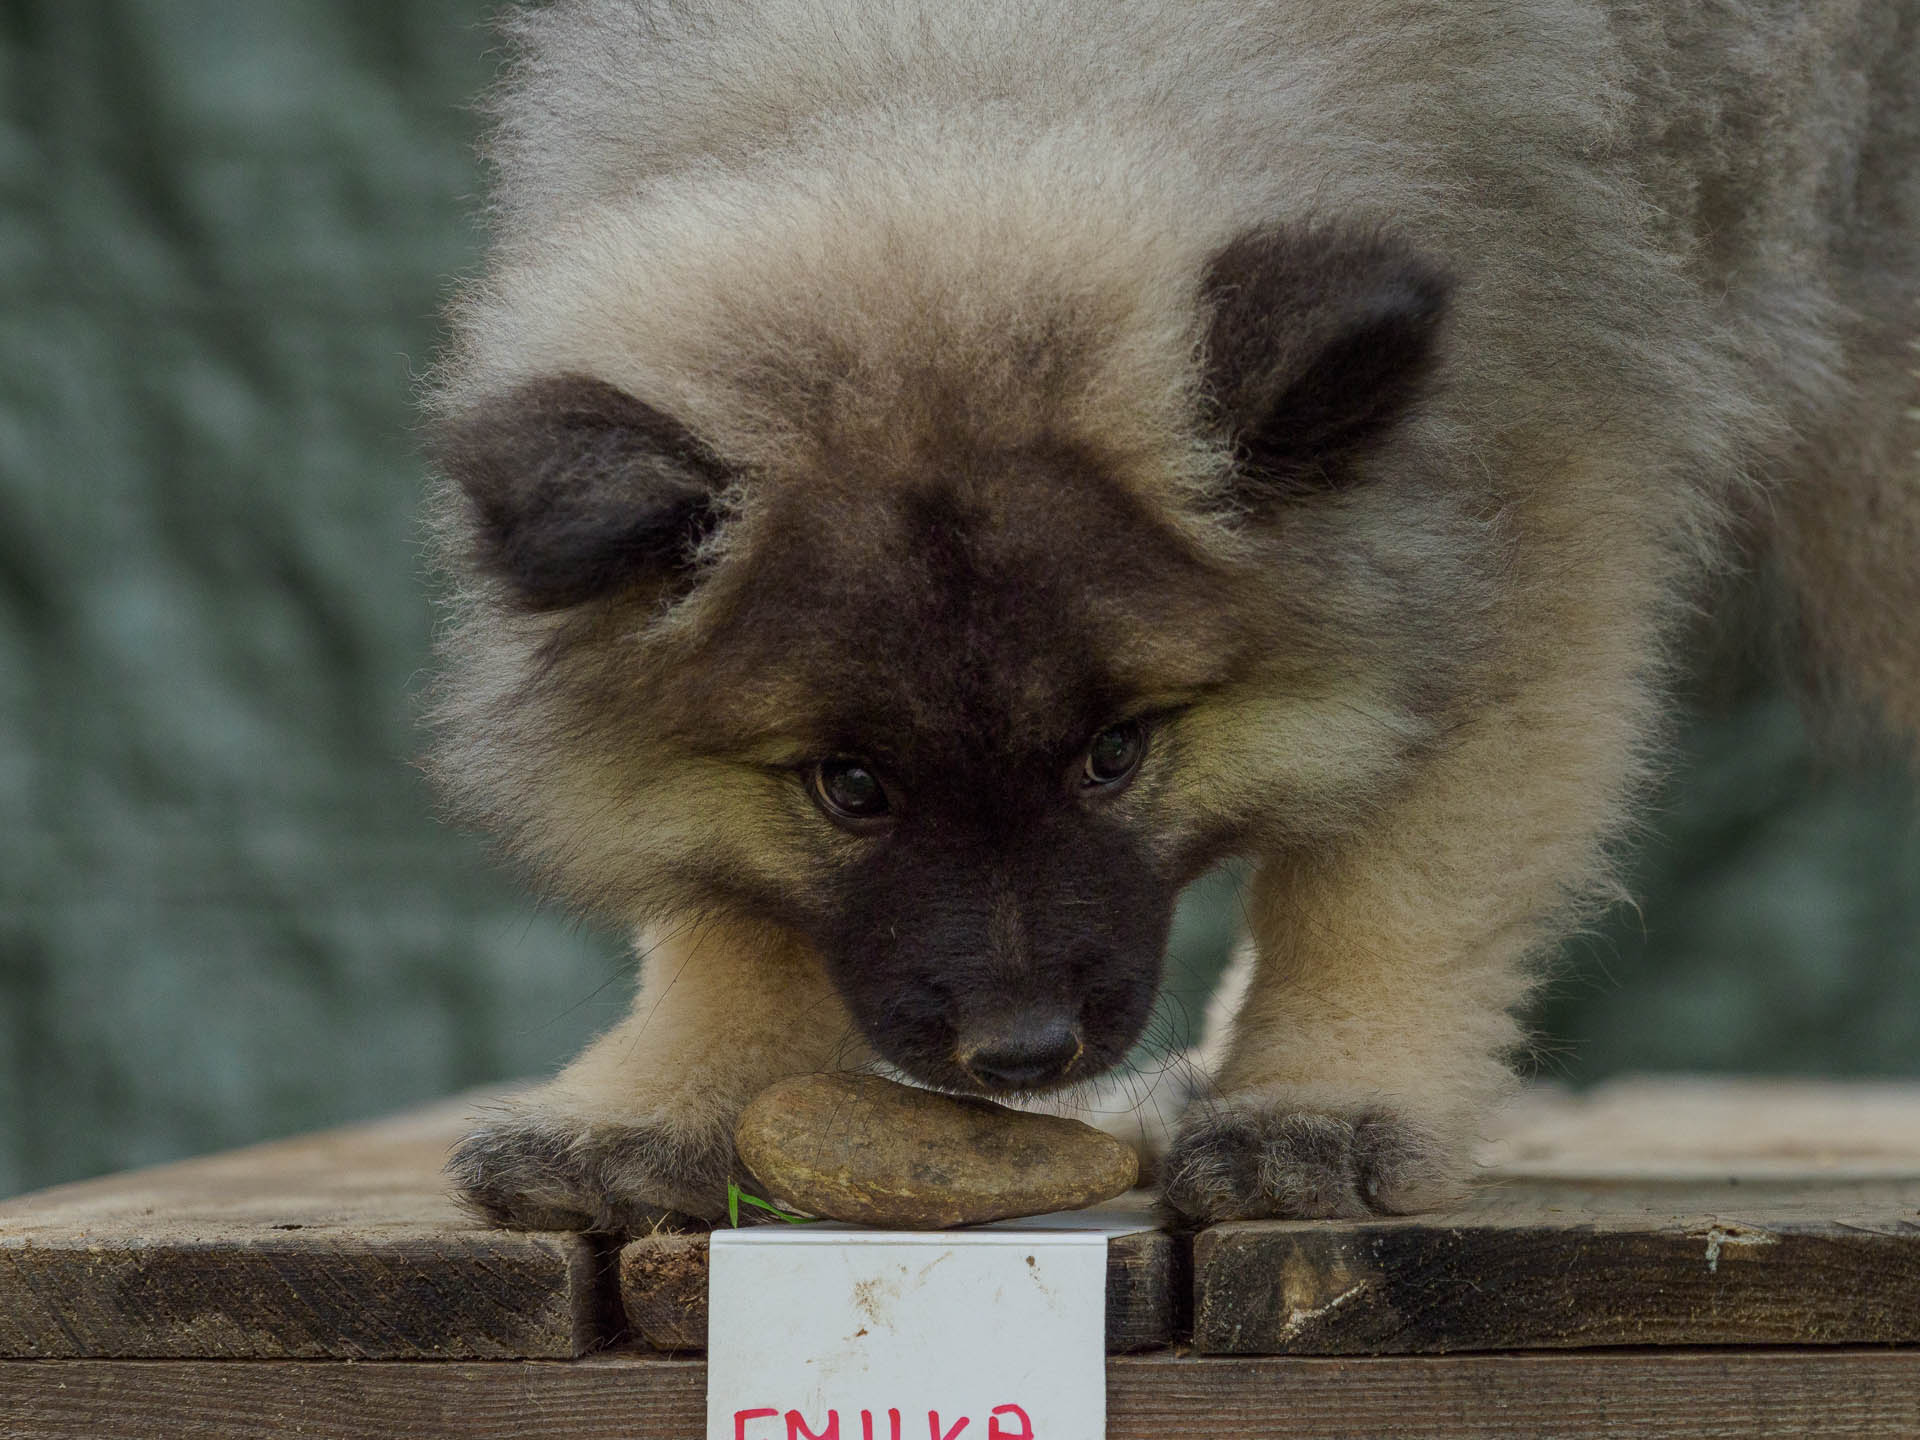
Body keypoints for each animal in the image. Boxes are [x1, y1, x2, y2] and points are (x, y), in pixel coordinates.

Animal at [428, 0, 1920, 1228]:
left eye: (1116, 750)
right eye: (849, 785)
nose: (1023, 1056)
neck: (955, 93)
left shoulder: (1529, 522)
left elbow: (1393, 870)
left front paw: (1318, 1099)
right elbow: (732, 906)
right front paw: (661, 1096)